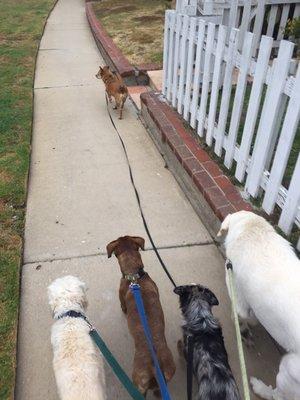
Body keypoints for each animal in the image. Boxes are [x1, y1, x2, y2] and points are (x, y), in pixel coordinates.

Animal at [217, 211, 300, 400]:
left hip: (288, 370)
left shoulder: (238, 298)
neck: (253, 231)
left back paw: (259, 387)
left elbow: (242, 317)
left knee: (278, 395)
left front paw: (243, 330)